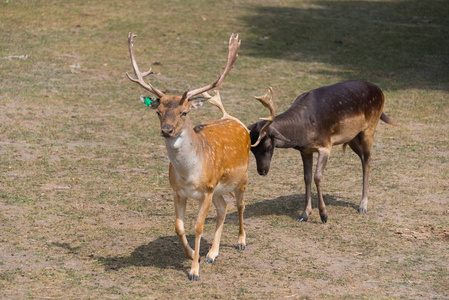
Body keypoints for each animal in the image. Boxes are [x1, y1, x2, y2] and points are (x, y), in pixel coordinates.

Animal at [248, 81, 396, 224]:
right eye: (252, 149)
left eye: (268, 147)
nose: (262, 171)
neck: (302, 130)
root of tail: (380, 90)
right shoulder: (305, 150)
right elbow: (307, 177)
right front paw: (304, 214)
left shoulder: (325, 146)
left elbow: (317, 177)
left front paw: (324, 215)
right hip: (352, 137)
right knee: (364, 158)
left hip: (369, 128)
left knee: (367, 159)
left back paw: (363, 205)